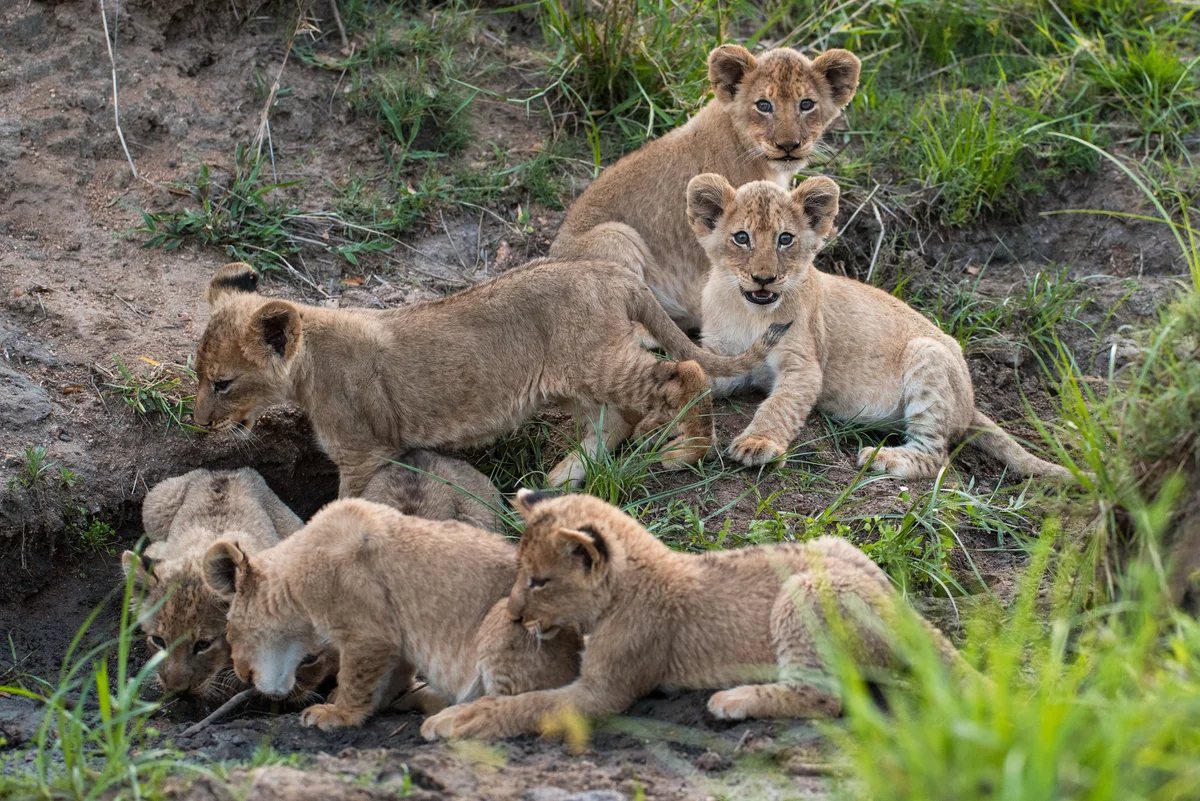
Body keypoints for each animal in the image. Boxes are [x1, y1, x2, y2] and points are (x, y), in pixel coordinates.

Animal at [122, 468, 336, 701]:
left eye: (203, 645)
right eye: (158, 641)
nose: (178, 691)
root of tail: (226, 471)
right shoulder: (156, 550)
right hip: (154, 506)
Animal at [192, 261, 788, 494]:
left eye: (222, 383)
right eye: (200, 377)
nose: (199, 424)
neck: (310, 359)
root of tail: (611, 270)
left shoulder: (364, 452)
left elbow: (345, 506)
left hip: (596, 362)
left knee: (685, 371)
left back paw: (687, 452)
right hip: (574, 377)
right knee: (613, 418)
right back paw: (563, 476)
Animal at [202, 498, 583, 731]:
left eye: (230, 632)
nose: (242, 675)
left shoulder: (369, 632)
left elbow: (355, 677)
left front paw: (338, 714)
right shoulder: (395, 638)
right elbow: (386, 678)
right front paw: (369, 703)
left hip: (506, 619)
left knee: (533, 703)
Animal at [421, 490, 967, 741]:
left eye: (538, 581)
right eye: (521, 576)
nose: (514, 614)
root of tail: (904, 608)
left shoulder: (603, 693)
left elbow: (528, 705)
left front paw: (459, 719)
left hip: (804, 590)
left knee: (826, 699)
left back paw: (734, 699)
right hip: (831, 545)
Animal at [684, 173, 1074, 479]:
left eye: (785, 239)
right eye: (742, 237)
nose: (763, 279)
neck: (748, 310)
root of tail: (971, 402)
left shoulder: (803, 362)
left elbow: (780, 405)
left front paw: (758, 443)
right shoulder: (724, 355)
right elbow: (698, 371)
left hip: (928, 354)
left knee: (936, 456)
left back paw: (881, 457)